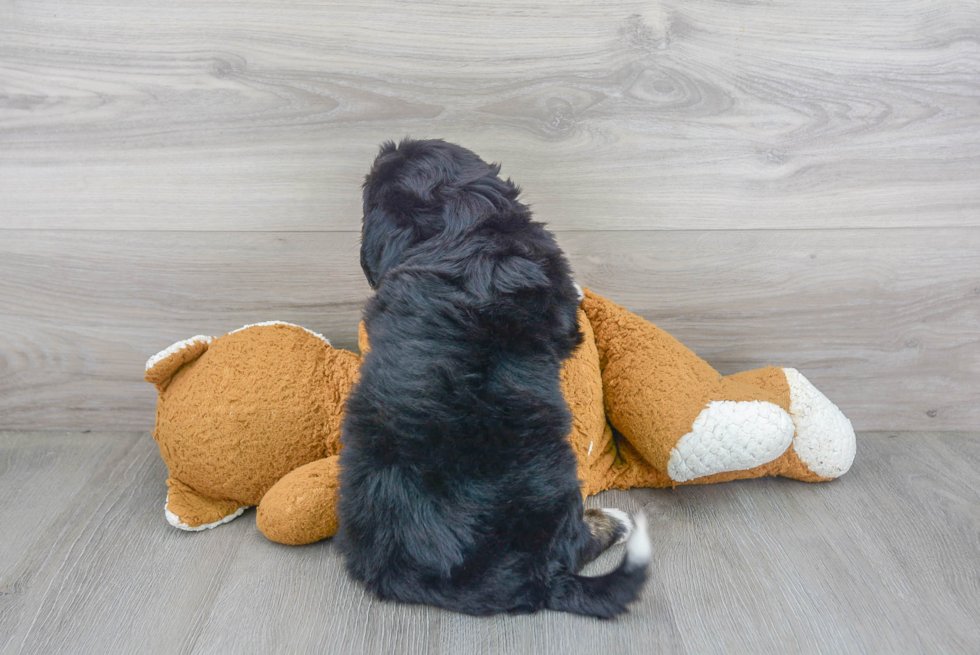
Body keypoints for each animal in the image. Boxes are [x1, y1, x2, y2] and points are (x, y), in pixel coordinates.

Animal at [336, 138, 652, 620]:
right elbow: (570, 306)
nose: (390, 149)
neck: (452, 227)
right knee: (577, 542)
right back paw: (611, 522)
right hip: (555, 485)